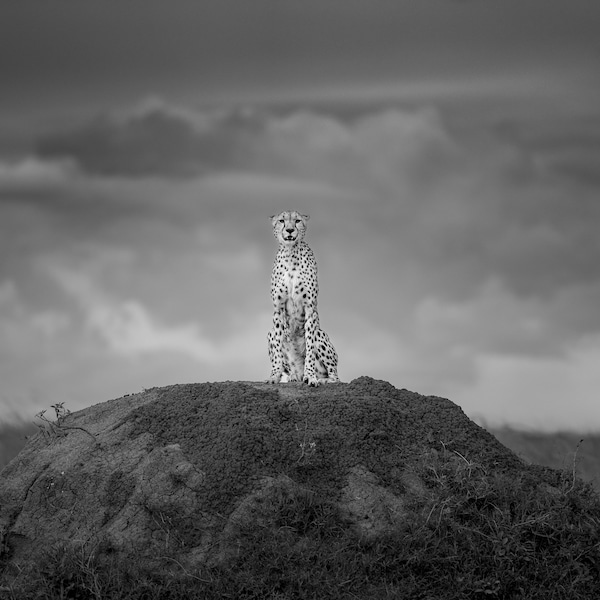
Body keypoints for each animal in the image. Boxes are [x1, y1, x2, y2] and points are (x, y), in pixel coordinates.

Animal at [266, 211, 338, 386]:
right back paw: (293, 376)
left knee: (335, 376)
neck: (291, 253)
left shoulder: (310, 307)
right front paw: (274, 375)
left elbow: (310, 347)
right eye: (282, 221)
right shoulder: (277, 308)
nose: (290, 230)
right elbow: (277, 349)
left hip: (320, 334)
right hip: (269, 334)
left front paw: (310, 376)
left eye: (297, 221)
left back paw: (322, 379)